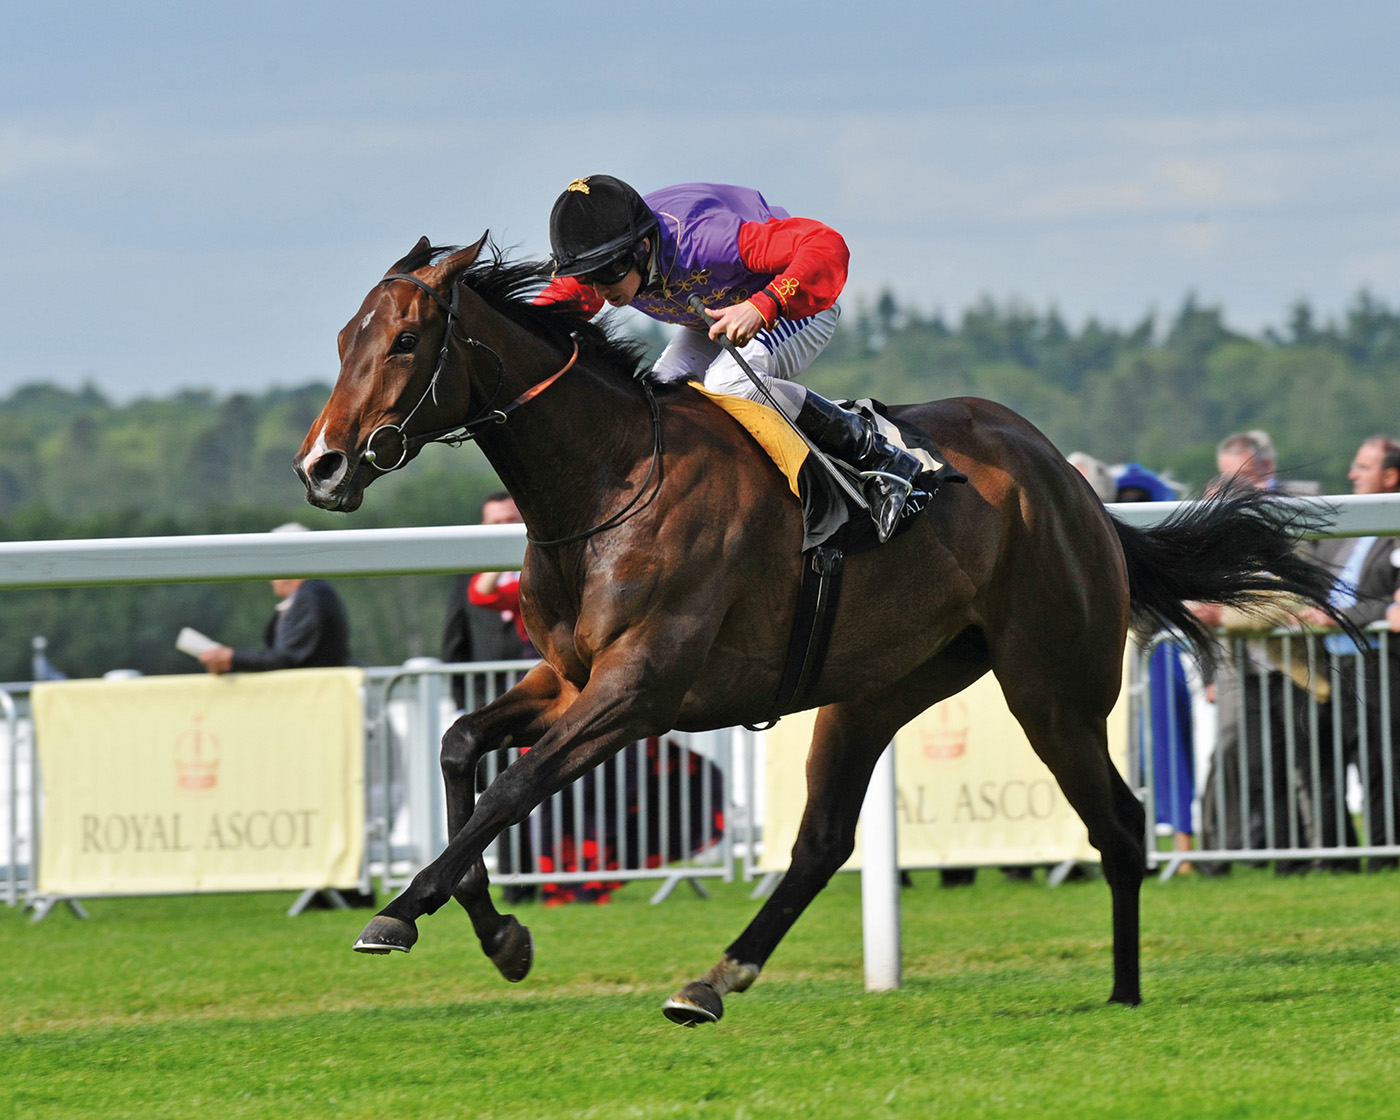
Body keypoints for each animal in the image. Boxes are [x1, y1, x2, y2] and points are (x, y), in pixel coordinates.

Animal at [296, 234, 1341, 1025]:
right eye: (344, 338)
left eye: (404, 341)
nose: (322, 465)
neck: (608, 480)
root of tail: (1077, 492)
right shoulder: (566, 676)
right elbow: (458, 745)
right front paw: (501, 935)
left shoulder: (639, 691)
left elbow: (511, 788)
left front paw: (399, 910)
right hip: (878, 690)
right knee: (823, 842)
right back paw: (712, 982)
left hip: (1052, 685)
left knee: (1118, 825)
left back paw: (1124, 996)